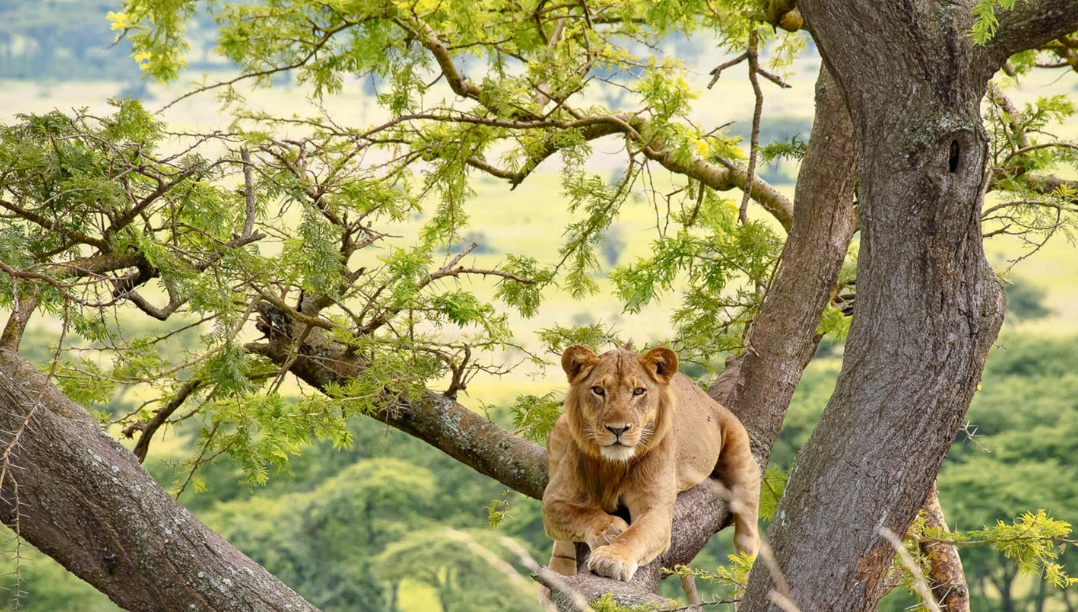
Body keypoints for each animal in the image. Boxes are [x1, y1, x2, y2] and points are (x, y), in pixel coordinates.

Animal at [543, 344, 763, 581]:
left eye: (638, 391)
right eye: (598, 391)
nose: (617, 429)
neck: (614, 465)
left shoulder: (655, 510)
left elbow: (635, 535)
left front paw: (612, 558)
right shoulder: (553, 500)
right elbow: (582, 514)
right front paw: (609, 529)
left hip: (740, 457)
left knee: (748, 536)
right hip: (561, 428)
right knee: (562, 547)